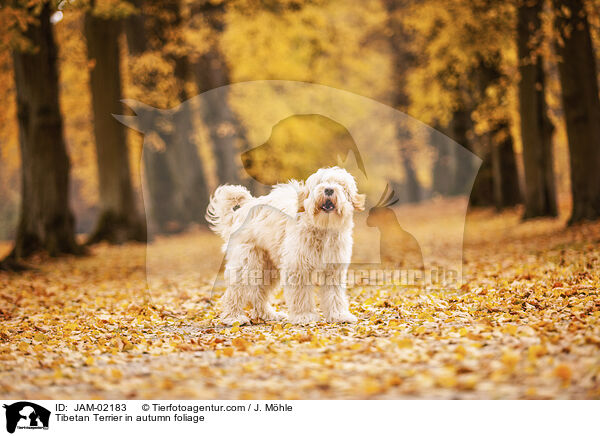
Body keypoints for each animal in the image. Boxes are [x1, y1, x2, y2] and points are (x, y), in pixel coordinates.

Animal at [209, 167, 364, 324]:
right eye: (320, 182)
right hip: (247, 261)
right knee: (235, 291)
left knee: (259, 293)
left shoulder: (334, 268)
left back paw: (269, 314)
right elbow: (301, 293)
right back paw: (234, 317)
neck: (322, 227)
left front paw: (339, 315)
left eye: (340, 185)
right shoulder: (298, 266)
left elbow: (334, 294)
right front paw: (304, 316)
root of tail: (245, 207)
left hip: (268, 267)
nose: (329, 189)